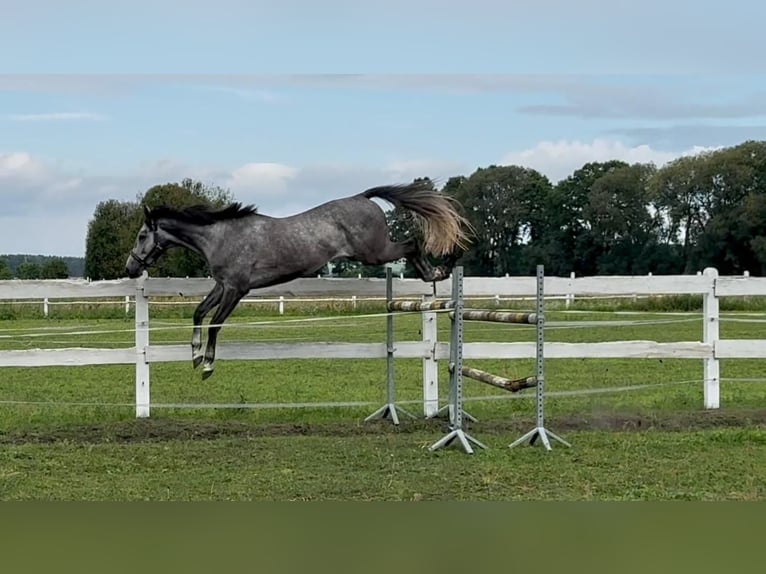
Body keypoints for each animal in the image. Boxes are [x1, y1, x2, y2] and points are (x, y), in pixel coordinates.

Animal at [125, 181, 473, 379]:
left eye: (142, 235)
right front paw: (195, 355)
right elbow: (199, 313)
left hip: (374, 252)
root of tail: (362, 197)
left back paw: (437, 272)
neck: (221, 236)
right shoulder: (222, 285)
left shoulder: (236, 289)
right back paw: (437, 273)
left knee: (413, 243)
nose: (130, 268)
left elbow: (214, 324)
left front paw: (208, 365)